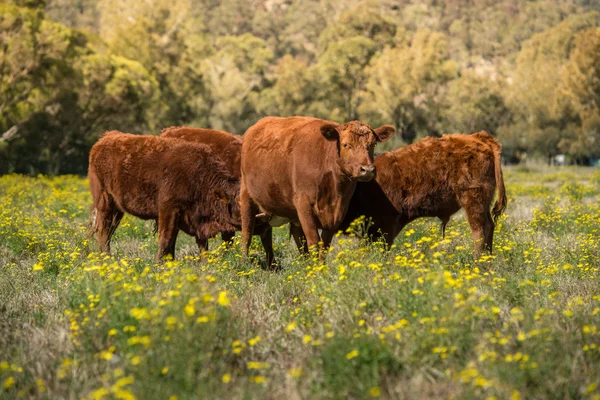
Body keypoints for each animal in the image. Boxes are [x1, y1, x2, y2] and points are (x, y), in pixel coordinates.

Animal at [87, 131, 241, 260]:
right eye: (239, 203)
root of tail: (105, 139)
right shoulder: (168, 210)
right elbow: (166, 239)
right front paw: (160, 262)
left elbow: (199, 243)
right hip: (104, 202)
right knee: (104, 230)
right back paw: (106, 257)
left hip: (117, 210)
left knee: (109, 230)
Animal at [239, 116, 394, 266]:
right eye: (346, 145)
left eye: (373, 144)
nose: (367, 170)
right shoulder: (304, 205)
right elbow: (314, 241)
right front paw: (316, 270)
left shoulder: (338, 211)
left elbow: (324, 245)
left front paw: (320, 267)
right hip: (246, 196)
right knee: (247, 232)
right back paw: (244, 263)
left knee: (278, 237)